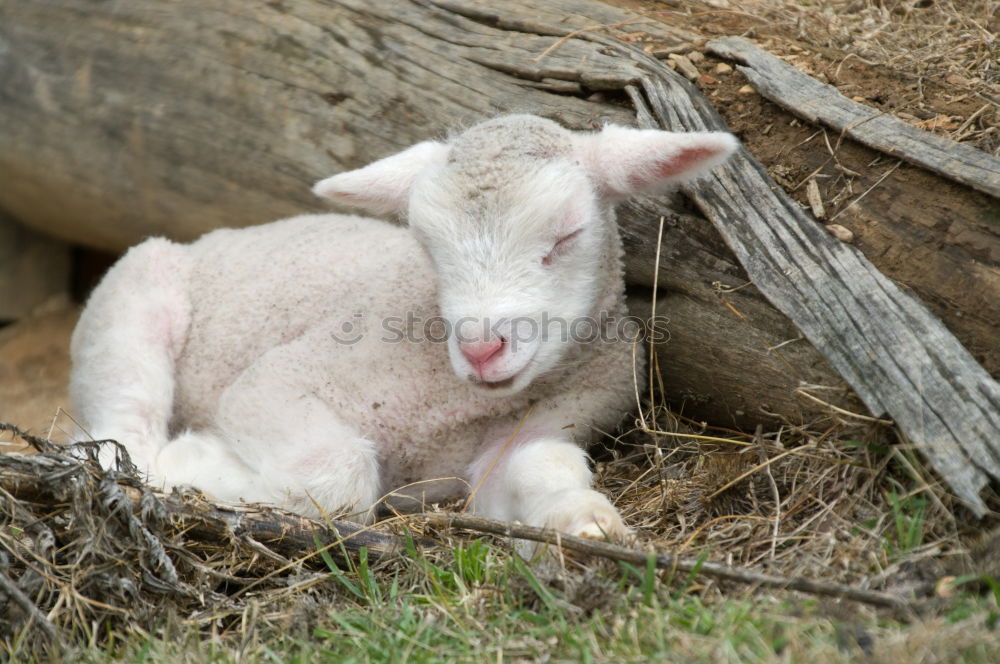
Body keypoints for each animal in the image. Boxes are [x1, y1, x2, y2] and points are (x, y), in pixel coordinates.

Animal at [70, 114, 740, 540]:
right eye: (427, 246)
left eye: (568, 235)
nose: (481, 348)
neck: (450, 399)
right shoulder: (275, 384)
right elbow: (337, 477)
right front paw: (199, 464)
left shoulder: (563, 414)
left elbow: (535, 469)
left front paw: (585, 524)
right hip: (128, 306)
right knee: (115, 438)